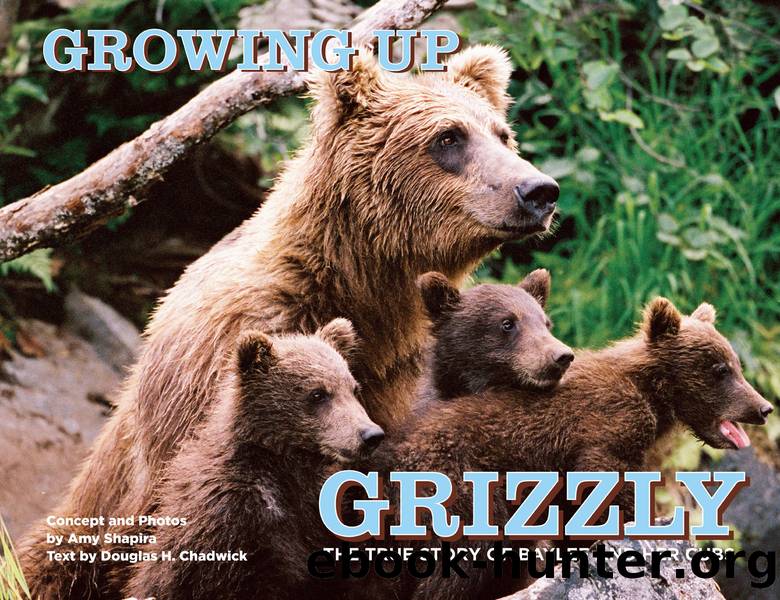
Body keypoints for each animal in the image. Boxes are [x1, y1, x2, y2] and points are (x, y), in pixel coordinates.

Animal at [341, 296, 773, 600]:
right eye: (720, 370)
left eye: (736, 364)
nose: (763, 407)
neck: (650, 393)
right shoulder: (605, 425)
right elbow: (607, 481)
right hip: (457, 490)